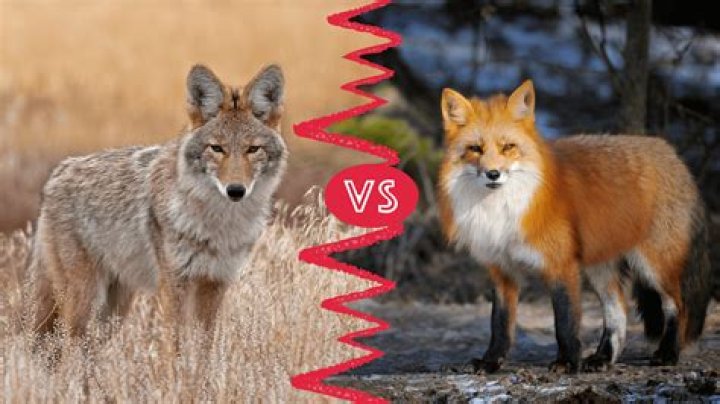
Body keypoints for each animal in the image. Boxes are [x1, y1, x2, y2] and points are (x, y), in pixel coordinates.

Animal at [30, 64, 287, 337]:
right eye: (217, 148)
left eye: (253, 149)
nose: (236, 190)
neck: (219, 224)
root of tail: (58, 172)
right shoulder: (174, 285)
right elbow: (174, 345)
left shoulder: (214, 285)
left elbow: (203, 346)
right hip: (85, 303)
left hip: (114, 310)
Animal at [438, 80, 711, 373]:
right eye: (475, 149)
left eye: (508, 147)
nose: (493, 174)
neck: (503, 210)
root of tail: (672, 153)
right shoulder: (502, 271)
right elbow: (499, 325)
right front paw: (491, 362)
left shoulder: (561, 265)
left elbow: (564, 321)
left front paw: (567, 361)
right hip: (601, 267)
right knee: (618, 312)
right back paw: (603, 358)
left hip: (655, 264)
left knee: (677, 306)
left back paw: (668, 353)